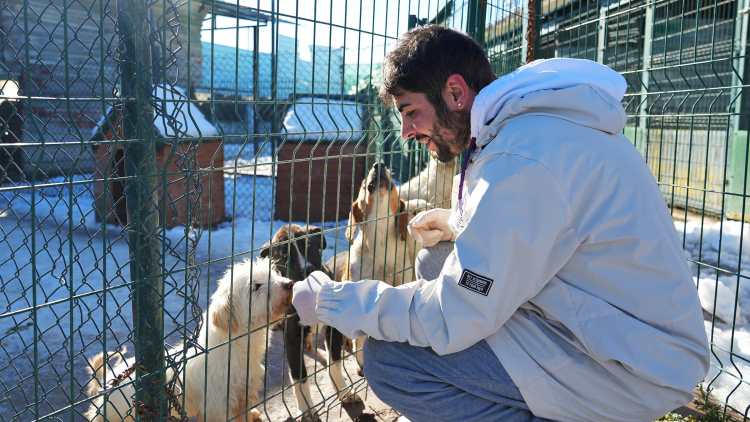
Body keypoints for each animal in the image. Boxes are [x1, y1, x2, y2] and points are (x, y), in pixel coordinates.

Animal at [83, 258, 294, 422]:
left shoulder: (242, 395)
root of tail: (108, 380)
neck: (233, 346)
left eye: (273, 275)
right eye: (256, 286)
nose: (290, 283)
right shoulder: (217, 407)